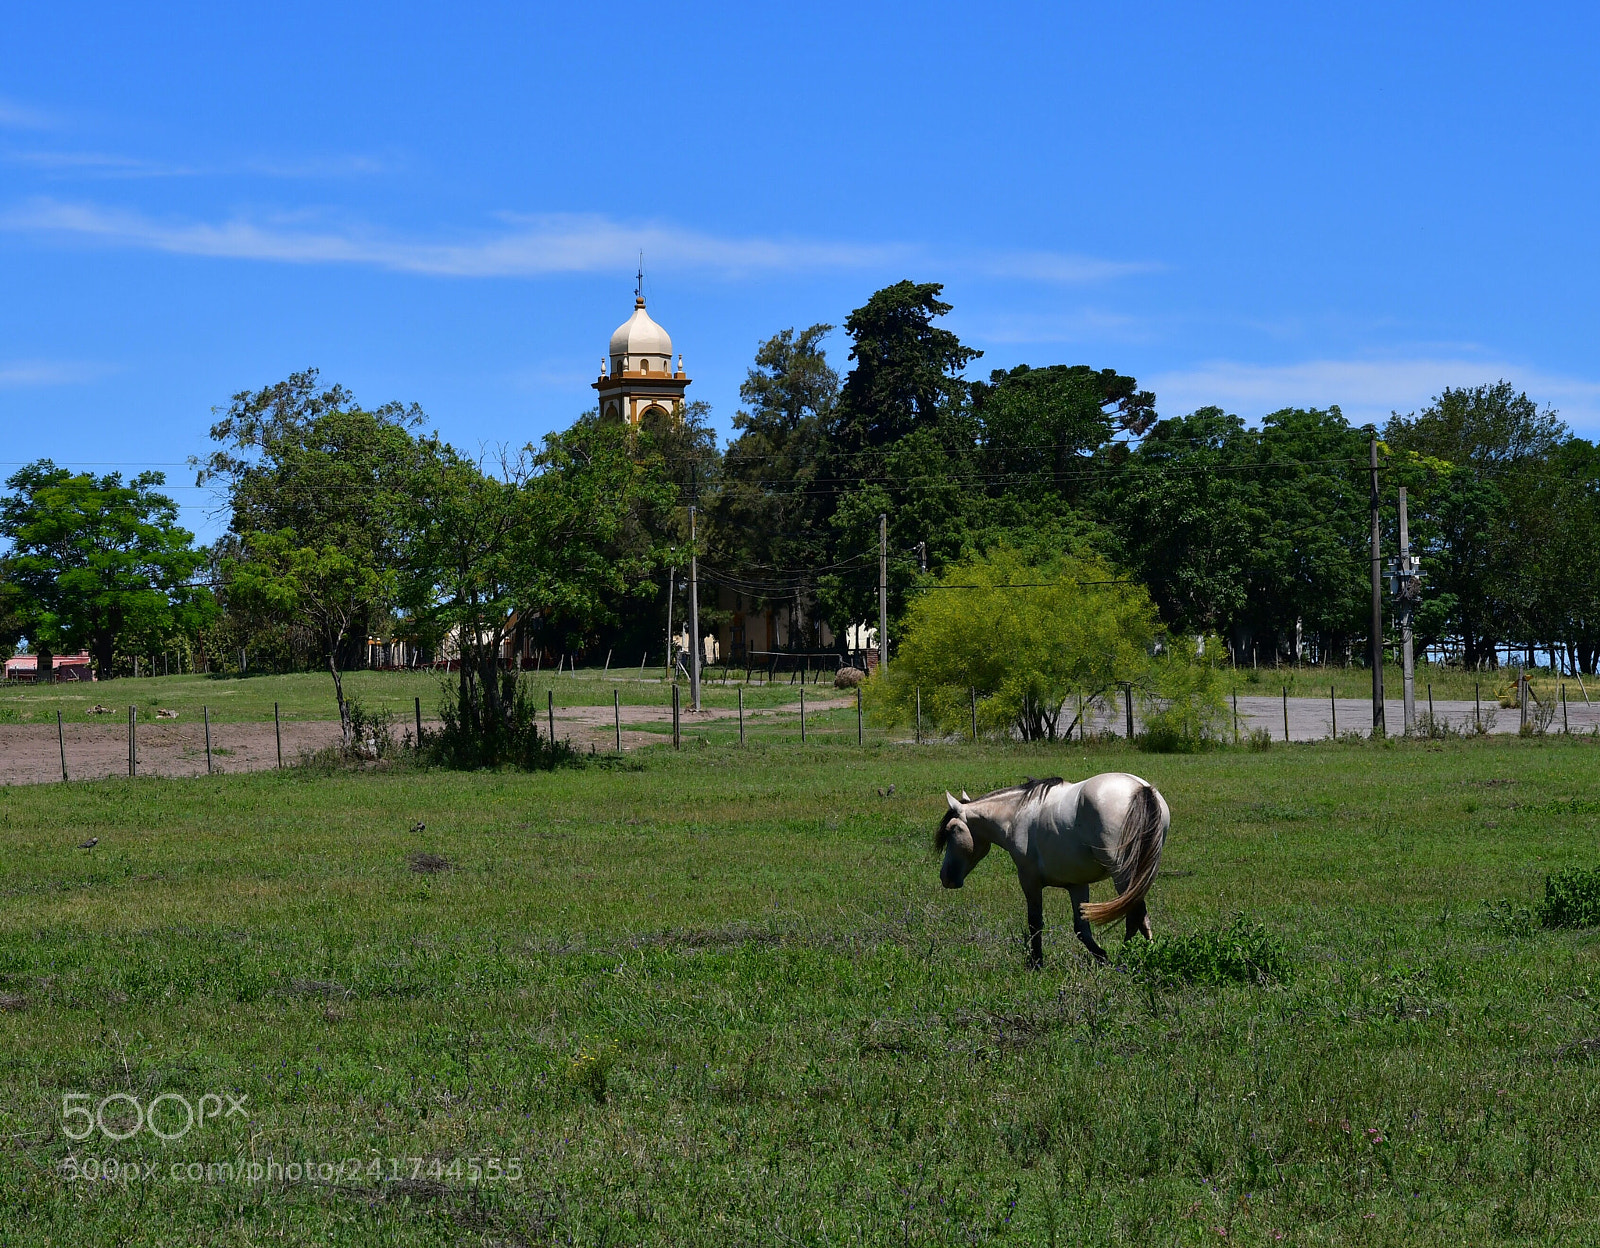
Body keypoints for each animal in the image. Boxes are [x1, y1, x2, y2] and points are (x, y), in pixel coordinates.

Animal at [934, 773, 1170, 967]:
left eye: (952, 829)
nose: (945, 877)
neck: (1015, 815)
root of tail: (1141, 788)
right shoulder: (1077, 885)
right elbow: (1081, 929)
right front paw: (1102, 958)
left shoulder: (1029, 880)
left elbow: (1035, 923)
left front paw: (1036, 963)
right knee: (1138, 916)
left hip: (1123, 874)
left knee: (1135, 915)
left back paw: (1126, 958)